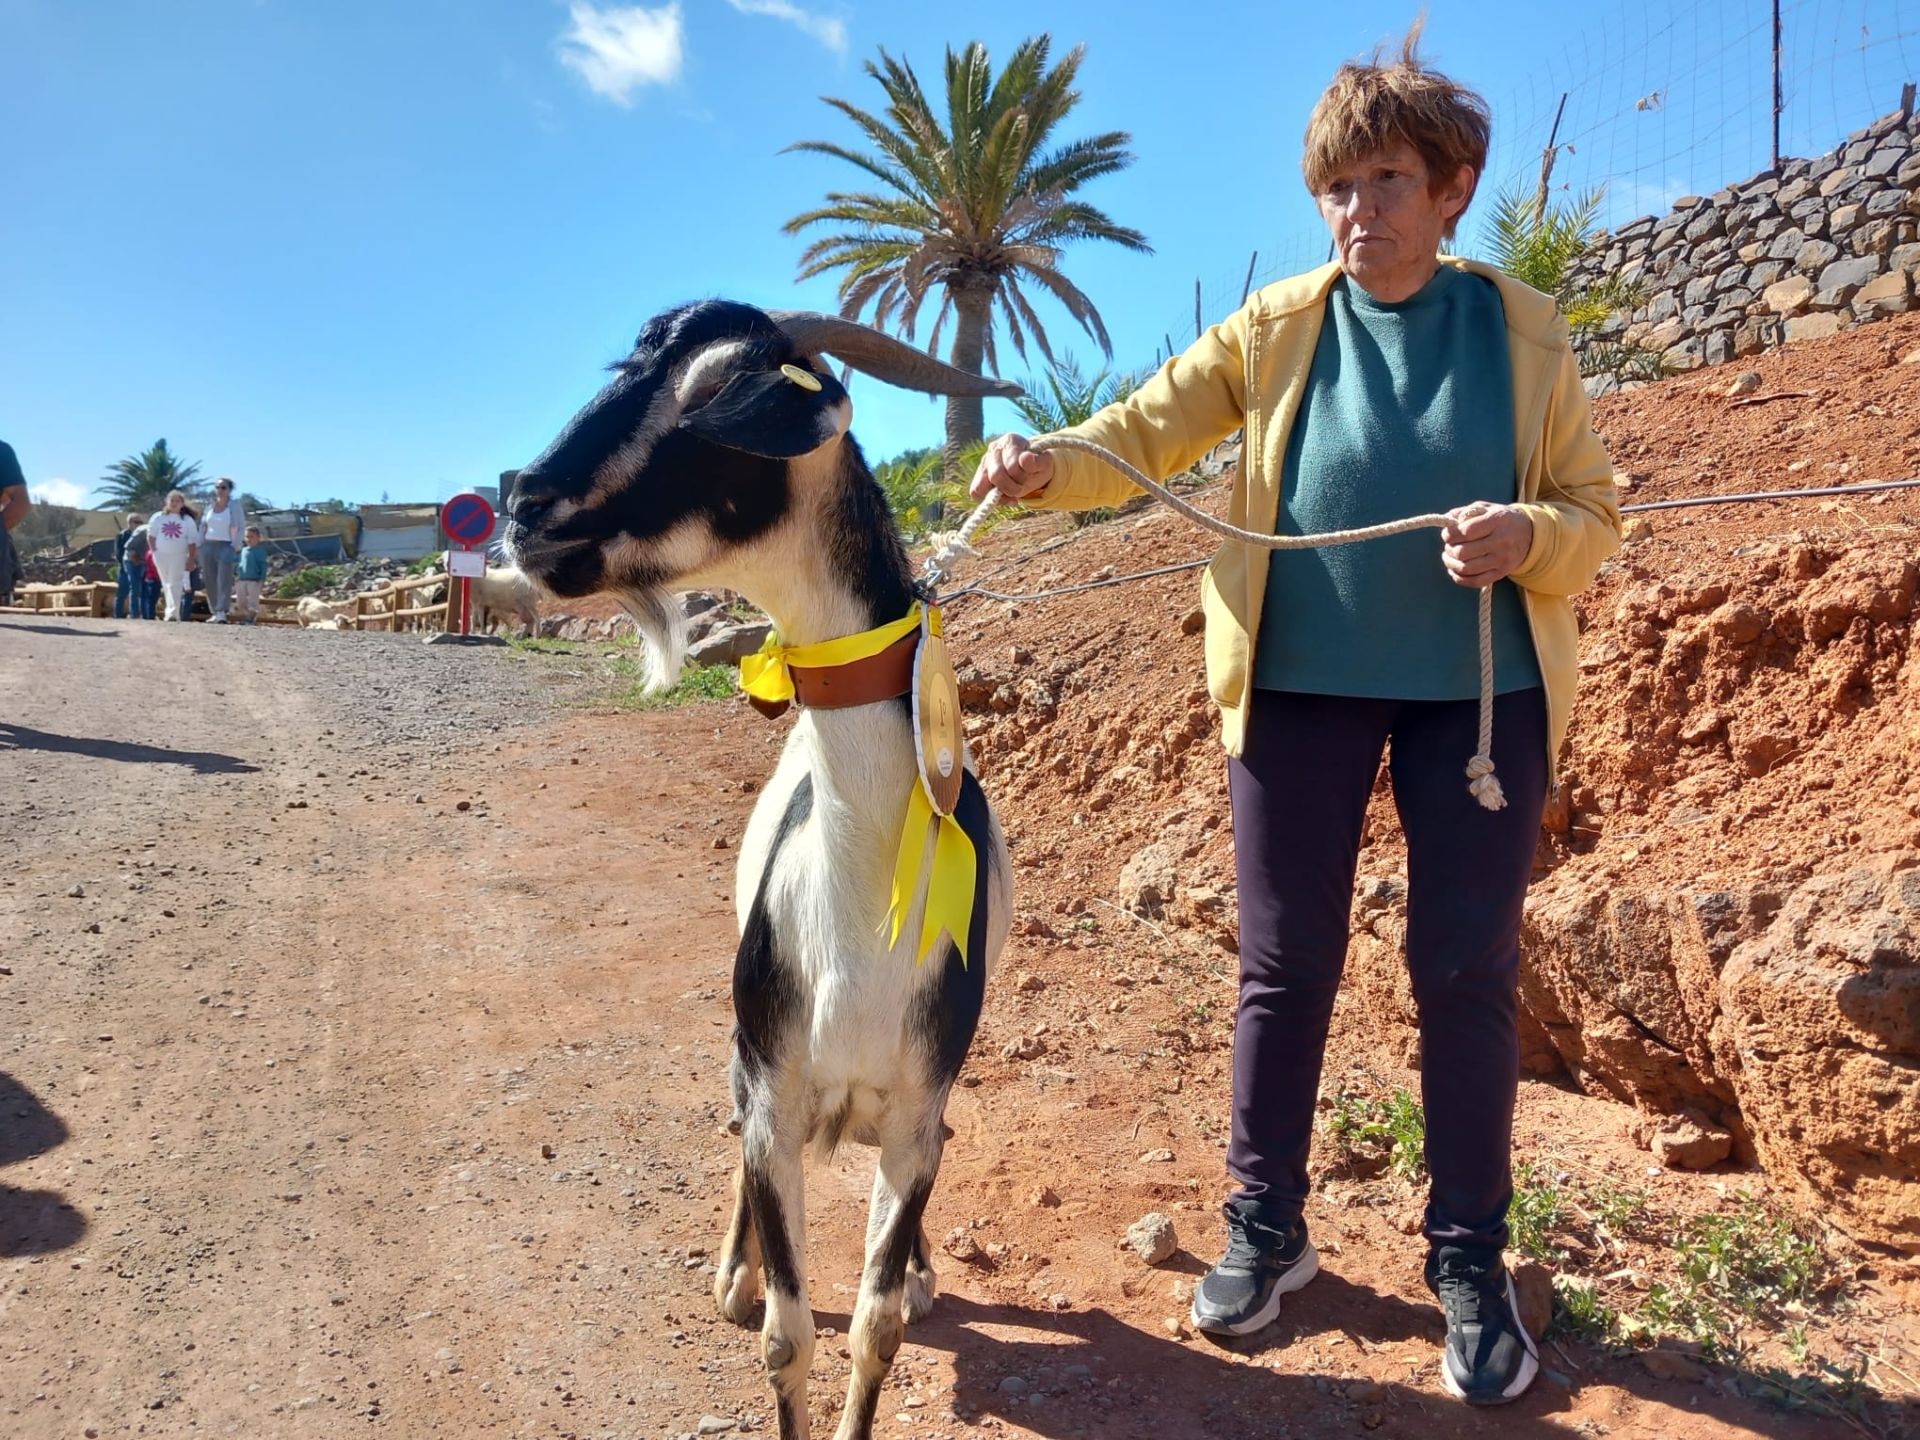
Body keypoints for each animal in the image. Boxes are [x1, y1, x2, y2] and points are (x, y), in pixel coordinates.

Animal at [503, 307, 1021, 1440]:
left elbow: (875, 1325)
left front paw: (905, 1283)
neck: (863, 918)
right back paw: (733, 1272)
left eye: (714, 398)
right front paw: (752, 1287)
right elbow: (789, 1335)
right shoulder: (776, 1088)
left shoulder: (915, 1115)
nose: (523, 508)